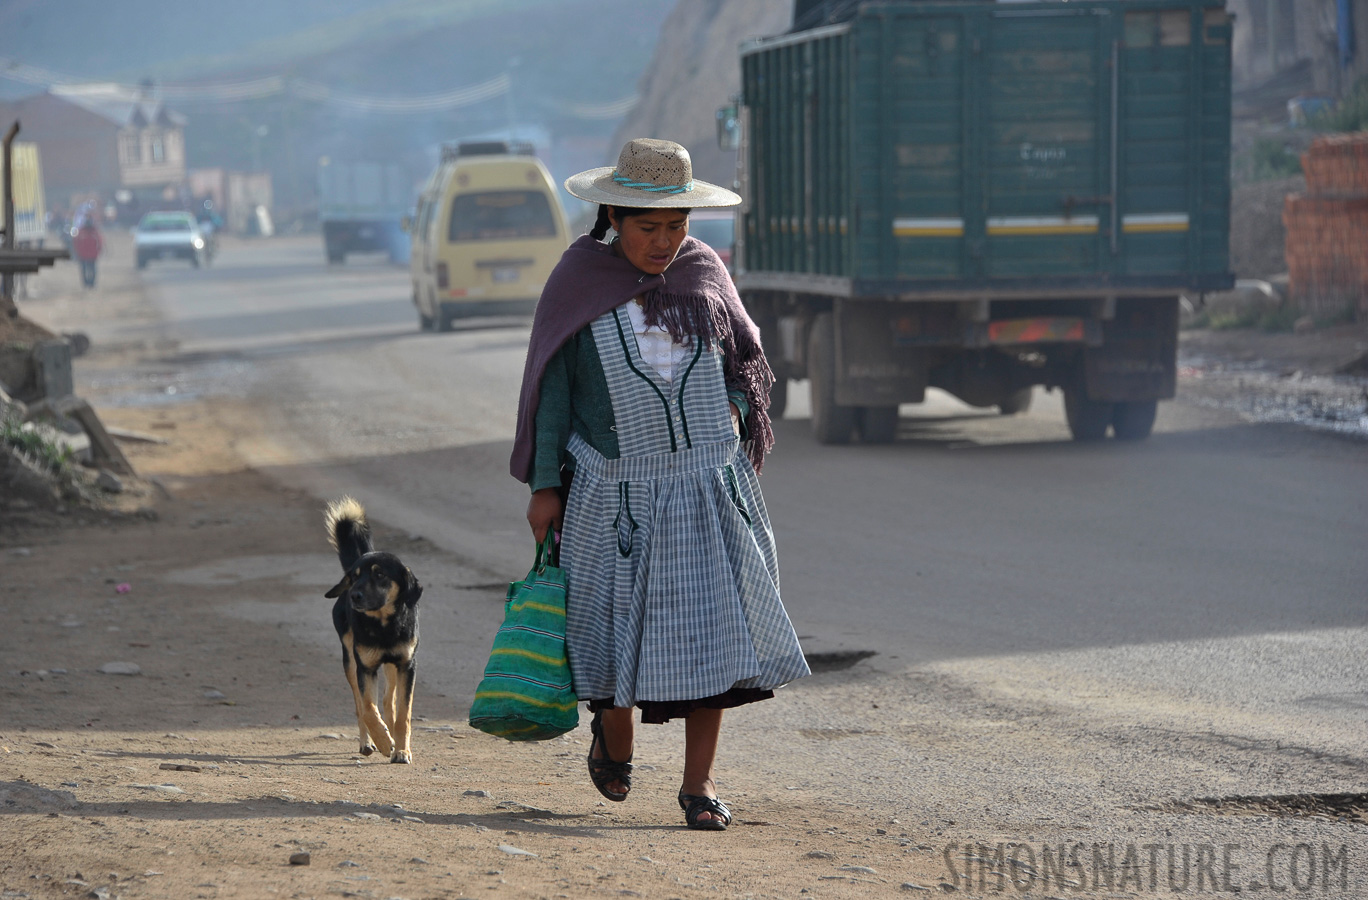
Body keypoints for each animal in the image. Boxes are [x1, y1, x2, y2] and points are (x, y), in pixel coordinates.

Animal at [325, 495, 421, 760]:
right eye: (355, 576)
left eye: (380, 575)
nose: (354, 596)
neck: (383, 625)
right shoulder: (365, 668)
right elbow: (368, 708)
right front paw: (384, 742)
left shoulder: (407, 665)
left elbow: (403, 714)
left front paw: (401, 750)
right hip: (350, 661)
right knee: (361, 705)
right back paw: (368, 743)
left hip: (391, 667)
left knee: (389, 702)